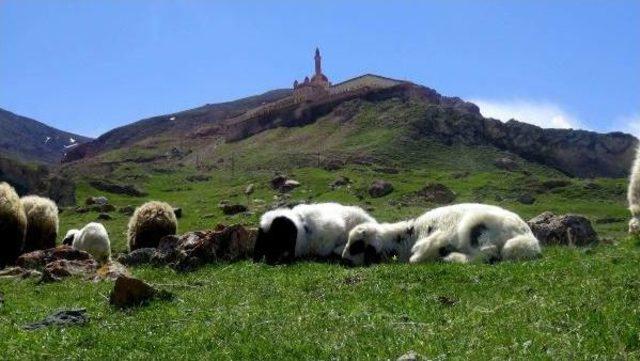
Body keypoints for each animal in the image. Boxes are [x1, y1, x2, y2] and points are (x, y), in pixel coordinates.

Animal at [340, 202, 540, 264]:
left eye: (357, 245)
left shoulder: (438, 237)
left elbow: (416, 258)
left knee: (487, 253)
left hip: (476, 227)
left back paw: (452, 258)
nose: (343, 260)